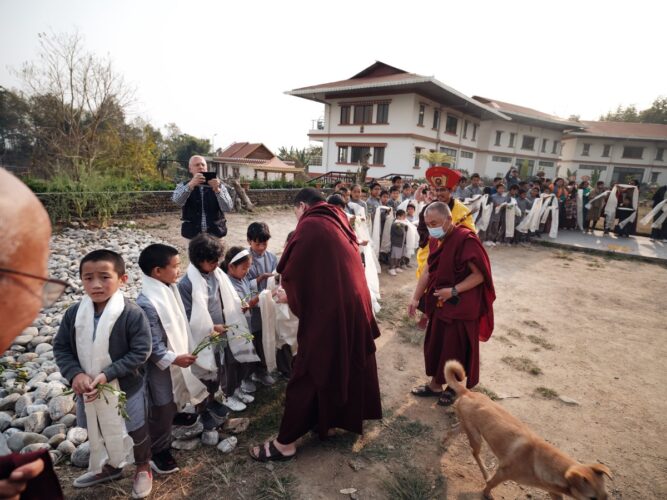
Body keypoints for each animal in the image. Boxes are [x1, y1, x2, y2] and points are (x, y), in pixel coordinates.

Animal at [446, 362, 612, 498]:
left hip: (467, 428)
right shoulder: (502, 473)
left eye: (606, 497)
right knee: (475, 453)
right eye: (592, 498)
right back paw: (485, 472)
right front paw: (487, 494)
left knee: (451, 431)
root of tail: (468, 392)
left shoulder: (554, 492)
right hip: (476, 437)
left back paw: (444, 442)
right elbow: (491, 485)